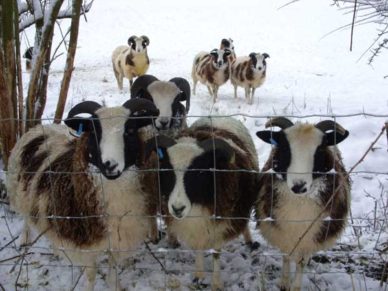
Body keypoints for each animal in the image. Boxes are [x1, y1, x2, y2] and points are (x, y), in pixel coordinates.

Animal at [6, 98, 161, 291]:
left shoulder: (119, 238)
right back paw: (24, 238)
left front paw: (115, 284)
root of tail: (42, 126)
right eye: (94, 132)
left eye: (130, 131)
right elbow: (91, 275)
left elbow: (113, 268)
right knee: (26, 218)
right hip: (19, 192)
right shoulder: (84, 244)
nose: (110, 165)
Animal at [141, 117, 260, 290]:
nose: (177, 208)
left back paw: (249, 240)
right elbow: (198, 248)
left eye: (198, 172)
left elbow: (216, 253)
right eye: (167, 170)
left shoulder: (221, 222)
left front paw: (216, 283)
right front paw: (199, 277)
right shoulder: (194, 227)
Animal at [255, 117, 352, 291]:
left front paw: (295, 286)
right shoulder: (282, 234)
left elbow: (301, 263)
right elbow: (286, 257)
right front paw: (284, 282)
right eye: (285, 149)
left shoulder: (309, 238)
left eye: (319, 150)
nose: (298, 186)